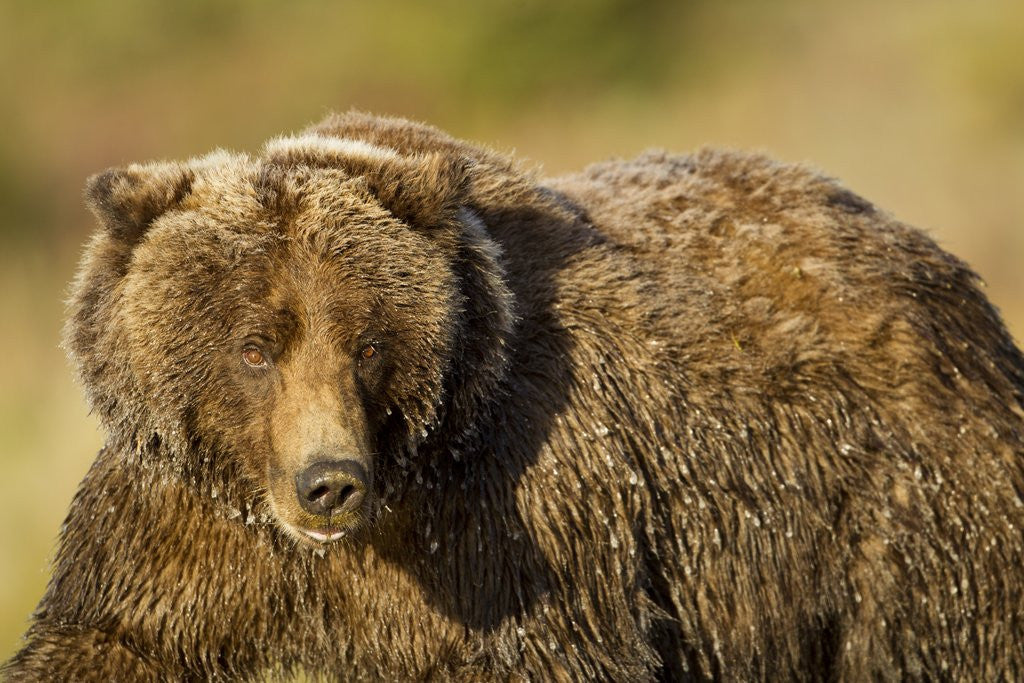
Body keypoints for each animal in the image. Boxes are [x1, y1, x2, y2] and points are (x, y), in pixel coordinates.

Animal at [4, 111, 1024, 681]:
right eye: (255, 347)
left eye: (367, 341)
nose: (329, 482)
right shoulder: (185, 529)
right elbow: (105, 635)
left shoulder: (518, 523)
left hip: (901, 514)